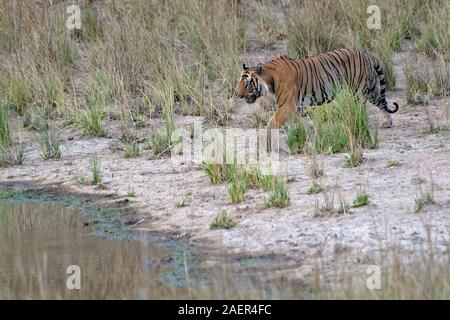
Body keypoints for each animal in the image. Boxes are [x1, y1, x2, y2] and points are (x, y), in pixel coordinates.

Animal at [236, 47, 398, 134]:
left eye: (248, 83)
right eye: (240, 82)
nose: (238, 95)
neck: (270, 78)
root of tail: (365, 53)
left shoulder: (287, 106)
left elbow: (272, 123)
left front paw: (265, 137)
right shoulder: (296, 107)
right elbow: (300, 123)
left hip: (358, 91)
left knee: (362, 109)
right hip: (373, 89)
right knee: (382, 103)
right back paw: (387, 122)